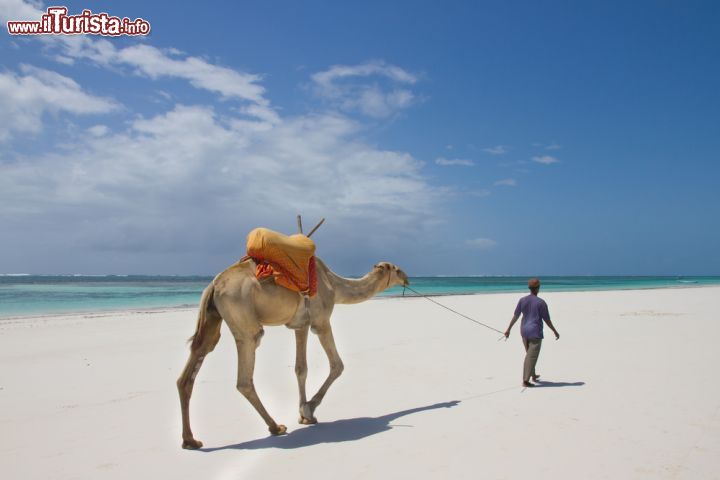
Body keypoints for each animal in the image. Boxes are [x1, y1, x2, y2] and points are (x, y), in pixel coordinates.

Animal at [176, 256, 408, 448]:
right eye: (396, 269)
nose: (407, 278)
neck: (334, 285)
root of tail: (213, 285)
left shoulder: (301, 325)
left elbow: (300, 368)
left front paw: (305, 416)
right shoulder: (321, 321)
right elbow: (337, 365)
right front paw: (309, 408)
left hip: (212, 318)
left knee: (193, 365)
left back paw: (191, 441)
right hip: (243, 317)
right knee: (245, 375)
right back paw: (275, 427)